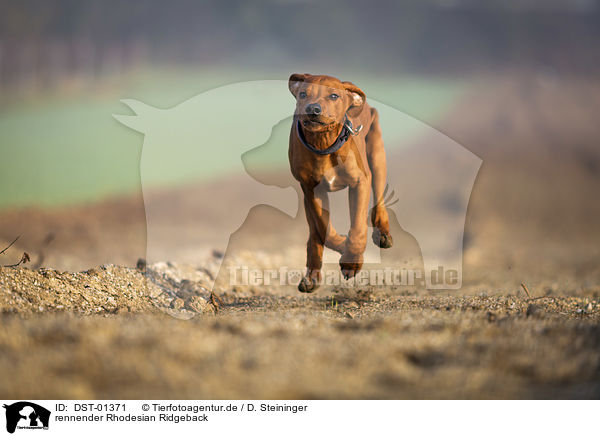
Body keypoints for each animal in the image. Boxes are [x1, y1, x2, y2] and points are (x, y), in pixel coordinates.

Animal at [288, 74, 392, 292]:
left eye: (334, 95)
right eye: (303, 94)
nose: (313, 109)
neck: (324, 143)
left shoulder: (360, 183)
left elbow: (358, 226)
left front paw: (351, 261)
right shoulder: (311, 189)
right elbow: (323, 227)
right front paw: (343, 245)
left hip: (377, 155)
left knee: (379, 198)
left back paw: (383, 233)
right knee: (315, 232)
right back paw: (311, 277)